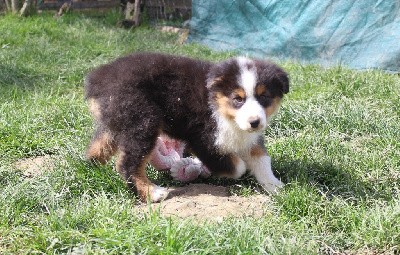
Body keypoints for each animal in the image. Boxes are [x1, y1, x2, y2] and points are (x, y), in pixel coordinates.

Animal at [86, 52, 290, 202]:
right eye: (238, 99)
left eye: (264, 97)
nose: (254, 122)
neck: (220, 107)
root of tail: (96, 80)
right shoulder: (203, 138)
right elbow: (237, 166)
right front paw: (219, 168)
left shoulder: (249, 137)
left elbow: (262, 159)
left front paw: (275, 186)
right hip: (142, 122)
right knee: (127, 163)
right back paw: (151, 192)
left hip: (117, 122)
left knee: (98, 147)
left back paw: (92, 169)